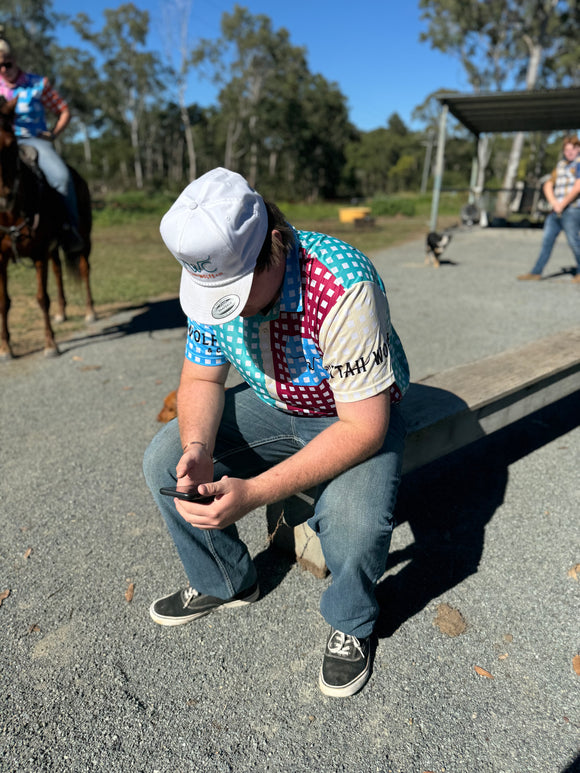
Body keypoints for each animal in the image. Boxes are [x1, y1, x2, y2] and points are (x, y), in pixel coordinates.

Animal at [0, 95, 95, 358]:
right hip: (53, 248)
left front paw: (50, 344)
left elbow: (42, 298)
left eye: (10, 146)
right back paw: (61, 313)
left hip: (84, 237)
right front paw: (5, 348)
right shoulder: (1, 258)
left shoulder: (38, 253)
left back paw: (90, 312)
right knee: (59, 271)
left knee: (84, 269)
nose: (5, 197)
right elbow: (3, 302)